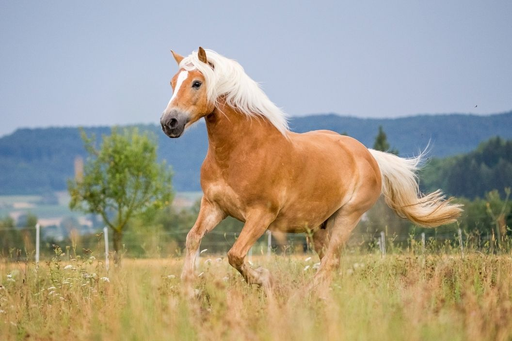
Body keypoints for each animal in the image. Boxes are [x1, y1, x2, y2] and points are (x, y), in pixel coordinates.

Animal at [160, 45, 464, 290]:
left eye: (197, 83)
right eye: (173, 82)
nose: (168, 123)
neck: (241, 150)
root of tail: (368, 155)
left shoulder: (261, 215)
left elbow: (234, 255)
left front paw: (265, 280)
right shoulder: (214, 206)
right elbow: (192, 238)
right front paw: (189, 289)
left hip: (347, 218)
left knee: (329, 263)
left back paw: (305, 295)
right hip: (319, 227)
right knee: (329, 262)